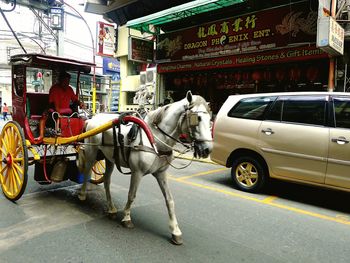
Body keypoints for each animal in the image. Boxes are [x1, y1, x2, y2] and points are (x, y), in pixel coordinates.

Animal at [78, 92, 212, 245]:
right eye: (197, 118)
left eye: (210, 119)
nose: (207, 150)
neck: (155, 140)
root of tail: (93, 118)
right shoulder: (137, 172)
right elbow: (131, 195)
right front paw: (127, 218)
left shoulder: (161, 173)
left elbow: (169, 200)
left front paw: (175, 231)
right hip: (91, 152)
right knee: (87, 171)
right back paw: (82, 195)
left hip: (109, 158)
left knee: (106, 181)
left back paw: (111, 209)